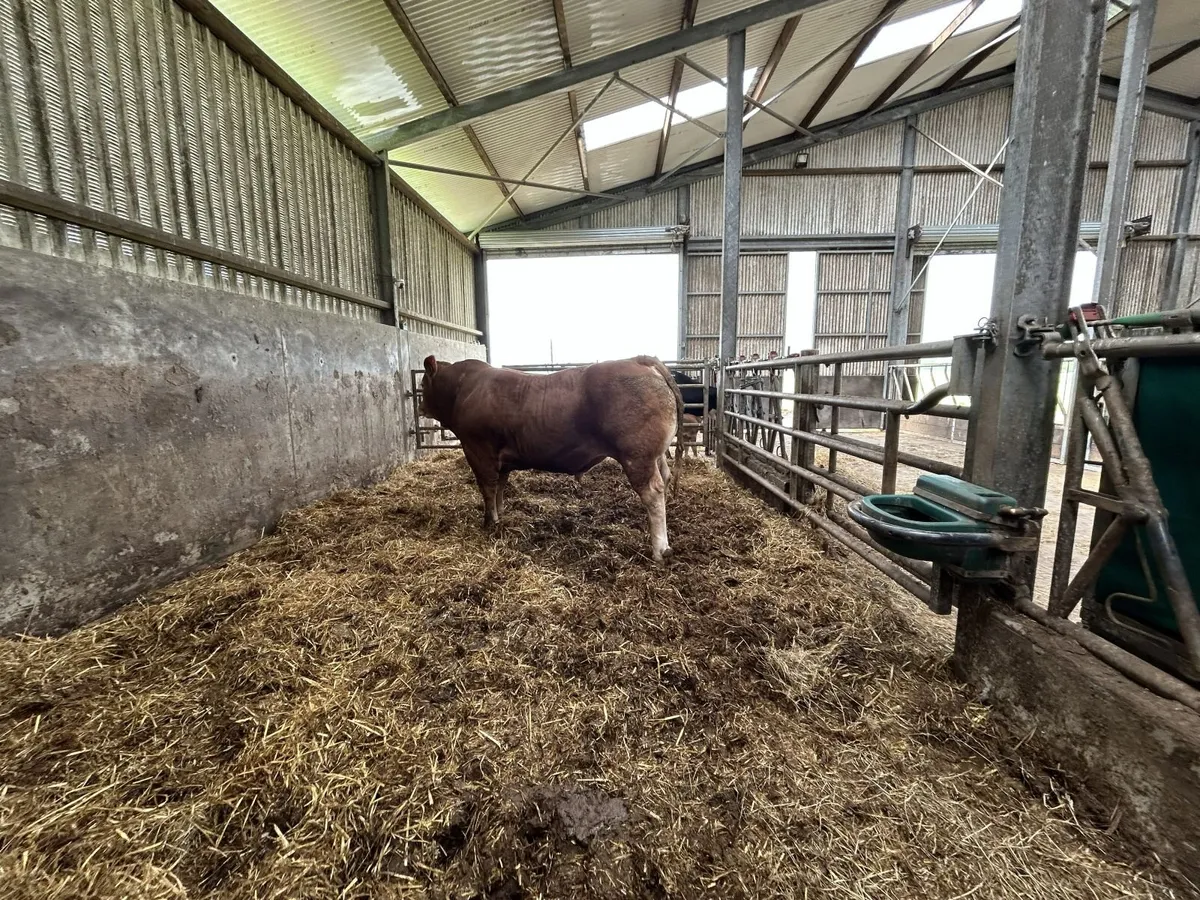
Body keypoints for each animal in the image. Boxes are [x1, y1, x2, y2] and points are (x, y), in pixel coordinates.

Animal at [419, 355, 686, 562]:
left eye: (422, 383)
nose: (420, 406)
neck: (464, 389)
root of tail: (639, 360)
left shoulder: (477, 449)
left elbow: (488, 488)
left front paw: (489, 522)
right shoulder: (500, 459)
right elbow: (500, 488)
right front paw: (500, 515)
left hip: (637, 456)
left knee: (652, 492)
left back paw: (661, 549)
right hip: (655, 455)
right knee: (665, 477)